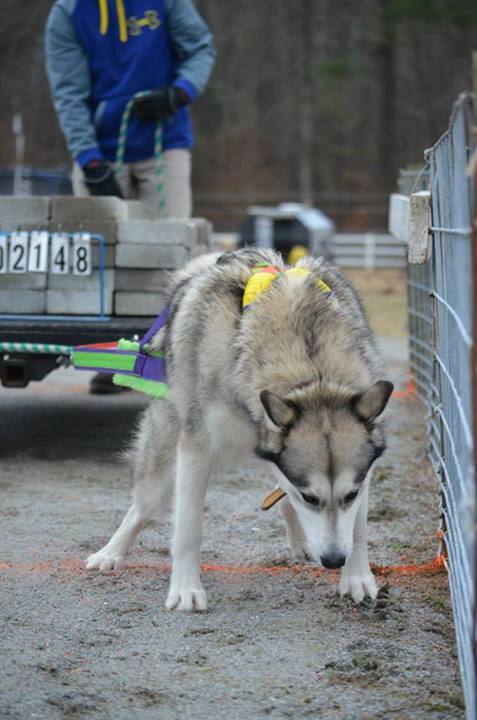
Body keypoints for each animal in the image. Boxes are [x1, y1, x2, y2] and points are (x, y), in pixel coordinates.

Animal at [84, 250, 390, 612]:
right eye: (310, 497)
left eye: (351, 495)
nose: (333, 561)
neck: (312, 370)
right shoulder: (195, 451)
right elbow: (188, 529)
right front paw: (186, 588)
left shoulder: (362, 471)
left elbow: (357, 530)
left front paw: (356, 578)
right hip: (162, 460)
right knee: (142, 507)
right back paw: (112, 552)